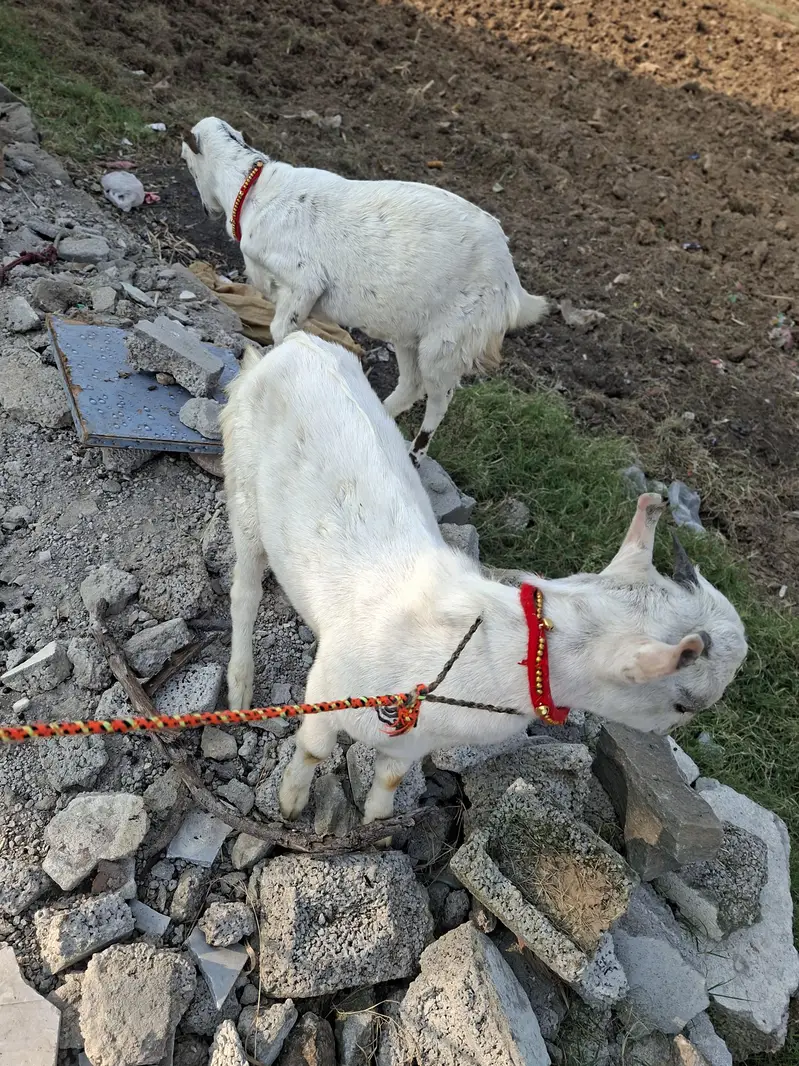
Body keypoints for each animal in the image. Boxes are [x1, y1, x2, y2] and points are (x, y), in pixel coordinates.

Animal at [182, 116, 550, 460]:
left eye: (188, 162)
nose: (205, 209)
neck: (254, 191)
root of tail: (511, 283)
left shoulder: (305, 282)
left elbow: (280, 331)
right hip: (410, 333)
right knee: (411, 384)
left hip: (450, 341)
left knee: (438, 398)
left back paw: (415, 453)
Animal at [221, 331, 747, 824]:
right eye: (686, 704)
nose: (665, 734)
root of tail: (297, 343)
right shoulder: (328, 689)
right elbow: (314, 750)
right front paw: (290, 805)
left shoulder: (416, 740)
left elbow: (391, 776)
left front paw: (377, 821)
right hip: (243, 487)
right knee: (245, 591)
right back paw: (240, 684)